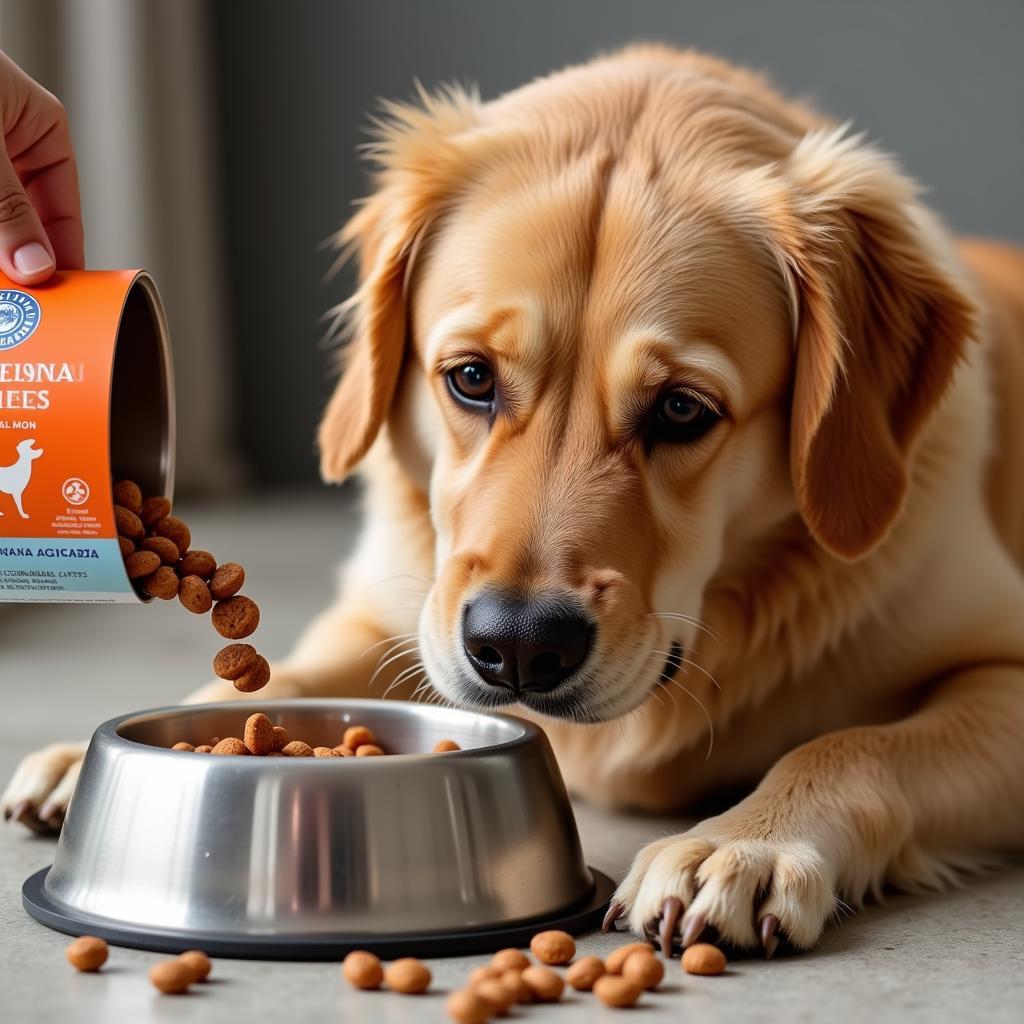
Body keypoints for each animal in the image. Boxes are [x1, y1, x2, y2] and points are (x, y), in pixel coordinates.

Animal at [8, 48, 1024, 954]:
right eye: (470, 378)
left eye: (682, 409)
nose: (519, 650)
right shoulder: (388, 613)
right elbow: (285, 676)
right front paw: (84, 757)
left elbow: (852, 744)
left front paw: (741, 843)